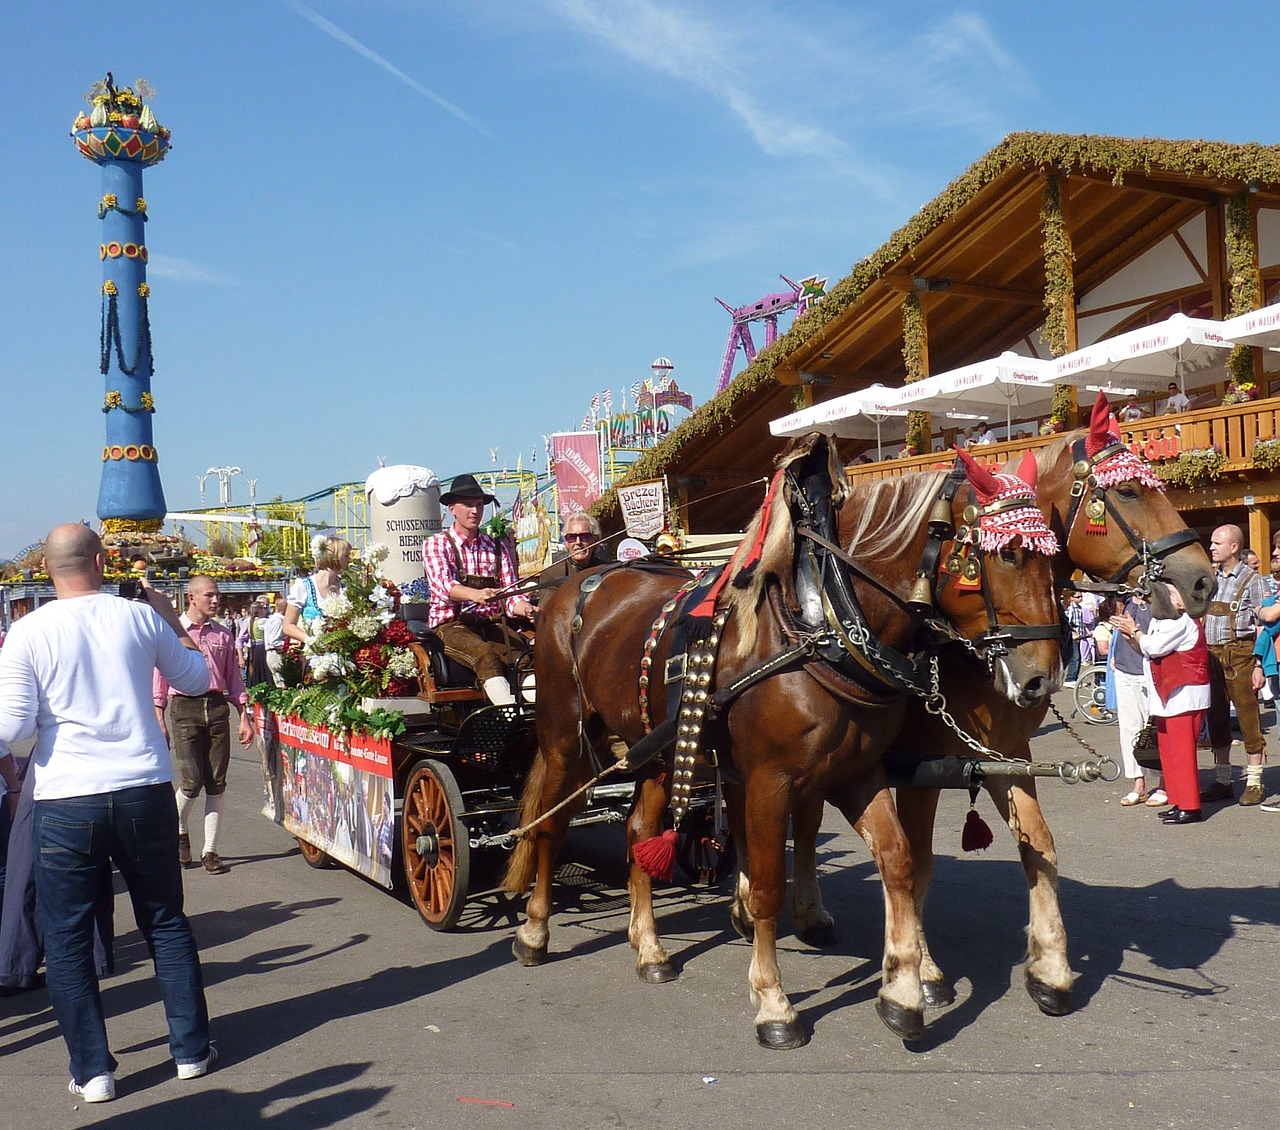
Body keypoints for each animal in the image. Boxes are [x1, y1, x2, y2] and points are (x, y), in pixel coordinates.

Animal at [504, 435, 1064, 1049]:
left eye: (1052, 554)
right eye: (1008, 554)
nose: (1041, 678)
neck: (824, 623)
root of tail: (576, 582)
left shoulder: (858, 772)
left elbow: (899, 861)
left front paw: (902, 990)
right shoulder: (771, 781)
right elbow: (769, 885)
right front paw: (773, 1002)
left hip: (653, 749)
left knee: (639, 834)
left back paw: (649, 947)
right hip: (565, 739)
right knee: (550, 826)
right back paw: (534, 931)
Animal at [773, 396, 1213, 1018]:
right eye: (1128, 492)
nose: (1203, 580)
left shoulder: (1004, 753)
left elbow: (1039, 845)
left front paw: (1050, 968)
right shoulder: (921, 768)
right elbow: (918, 865)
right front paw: (925, 973)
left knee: (804, 819)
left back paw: (803, 912)